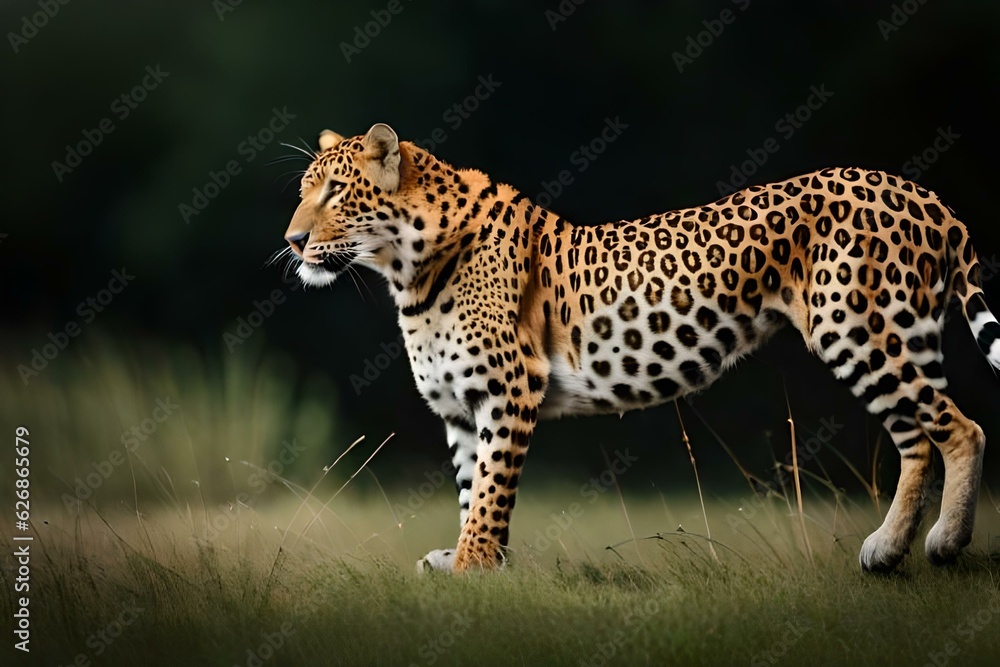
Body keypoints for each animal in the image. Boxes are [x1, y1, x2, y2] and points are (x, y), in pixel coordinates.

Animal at [282, 123, 997, 574]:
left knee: (961, 428)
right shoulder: (462, 407)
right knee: (917, 437)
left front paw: (473, 567)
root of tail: (918, 190)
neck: (404, 270)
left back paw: (944, 543)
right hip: (896, 335)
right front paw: (471, 561)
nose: (292, 241)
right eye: (302, 191)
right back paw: (888, 550)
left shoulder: (510, 389)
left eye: (335, 192)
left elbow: (489, 490)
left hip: (857, 328)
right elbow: (469, 487)